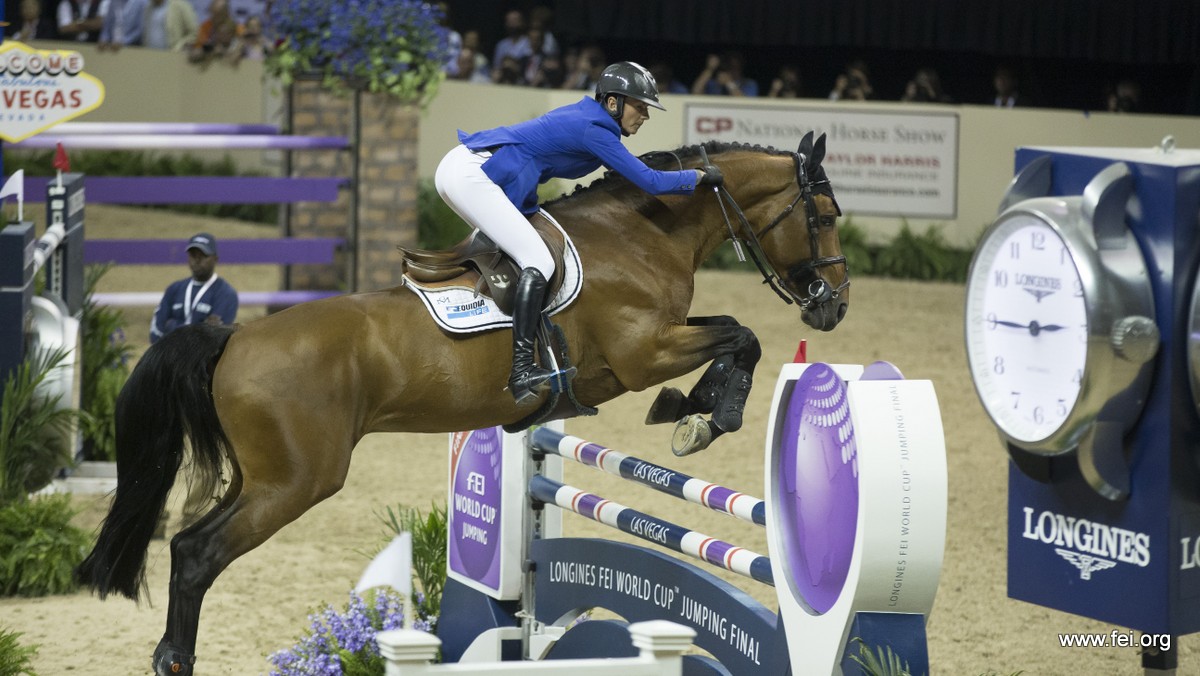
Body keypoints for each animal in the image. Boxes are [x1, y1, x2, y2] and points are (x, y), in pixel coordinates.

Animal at [75, 130, 849, 672]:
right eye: (825, 215)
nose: (833, 307)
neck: (642, 233)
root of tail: (233, 337)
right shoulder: (643, 353)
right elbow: (742, 336)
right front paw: (703, 416)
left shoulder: (640, 356)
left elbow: (734, 335)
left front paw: (690, 410)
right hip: (296, 481)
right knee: (197, 554)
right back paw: (175, 659)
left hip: (259, 476)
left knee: (186, 544)